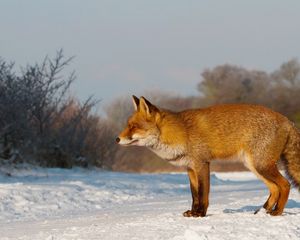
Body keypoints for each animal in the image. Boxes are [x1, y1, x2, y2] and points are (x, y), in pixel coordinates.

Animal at [116, 95, 300, 218]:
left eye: (133, 126)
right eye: (127, 125)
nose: (117, 139)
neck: (181, 133)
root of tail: (287, 121)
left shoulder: (202, 164)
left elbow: (203, 193)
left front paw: (200, 214)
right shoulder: (190, 168)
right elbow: (194, 195)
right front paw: (193, 212)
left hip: (261, 166)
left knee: (285, 185)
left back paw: (277, 212)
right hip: (254, 166)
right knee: (274, 188)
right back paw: (262, 211)